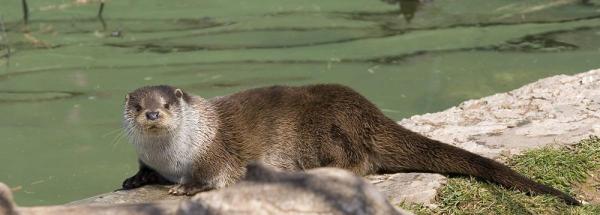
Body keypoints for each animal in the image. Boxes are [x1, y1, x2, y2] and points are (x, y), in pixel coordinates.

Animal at [120, 84, 580, 205]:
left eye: (166, 103)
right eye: (139, 105)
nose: (153, 115)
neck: (174, 156)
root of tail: (369, 112)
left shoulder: (215, 153)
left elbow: (215, 175)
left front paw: (186, 187)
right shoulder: (151, 158)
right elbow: (144, 172)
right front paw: (133, 180)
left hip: (332, 130)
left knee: (358, 164)